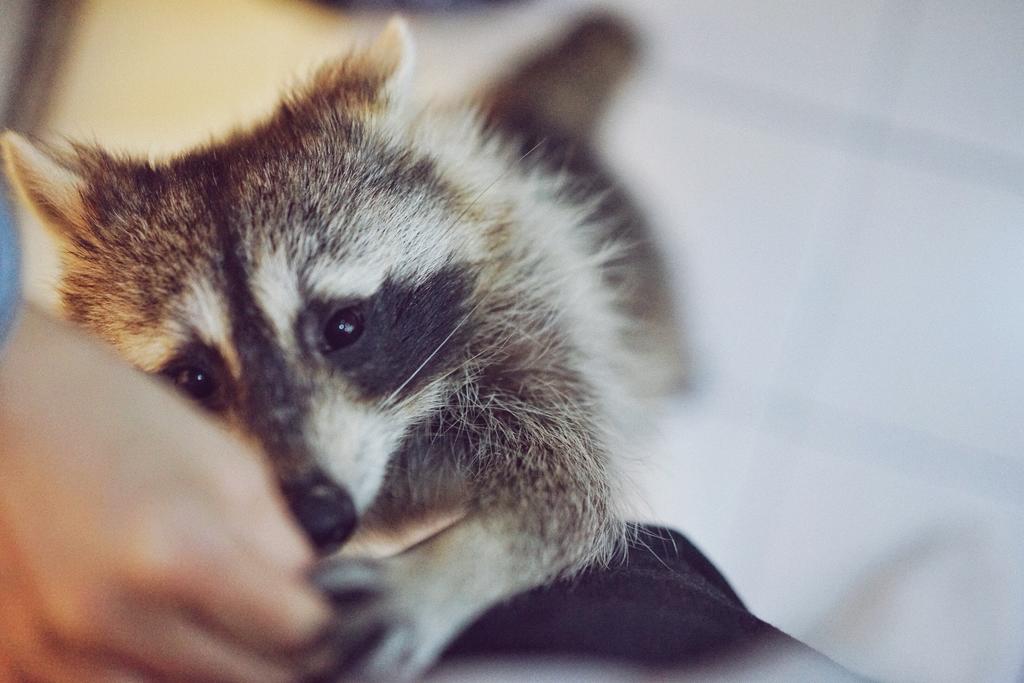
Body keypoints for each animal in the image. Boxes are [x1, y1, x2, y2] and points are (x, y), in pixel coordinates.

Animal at [2, 15, 682, 680]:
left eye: (343, 328)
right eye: (195, 379)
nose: (318, 518)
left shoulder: (539, 316)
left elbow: (569, 495)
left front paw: (446, 570)